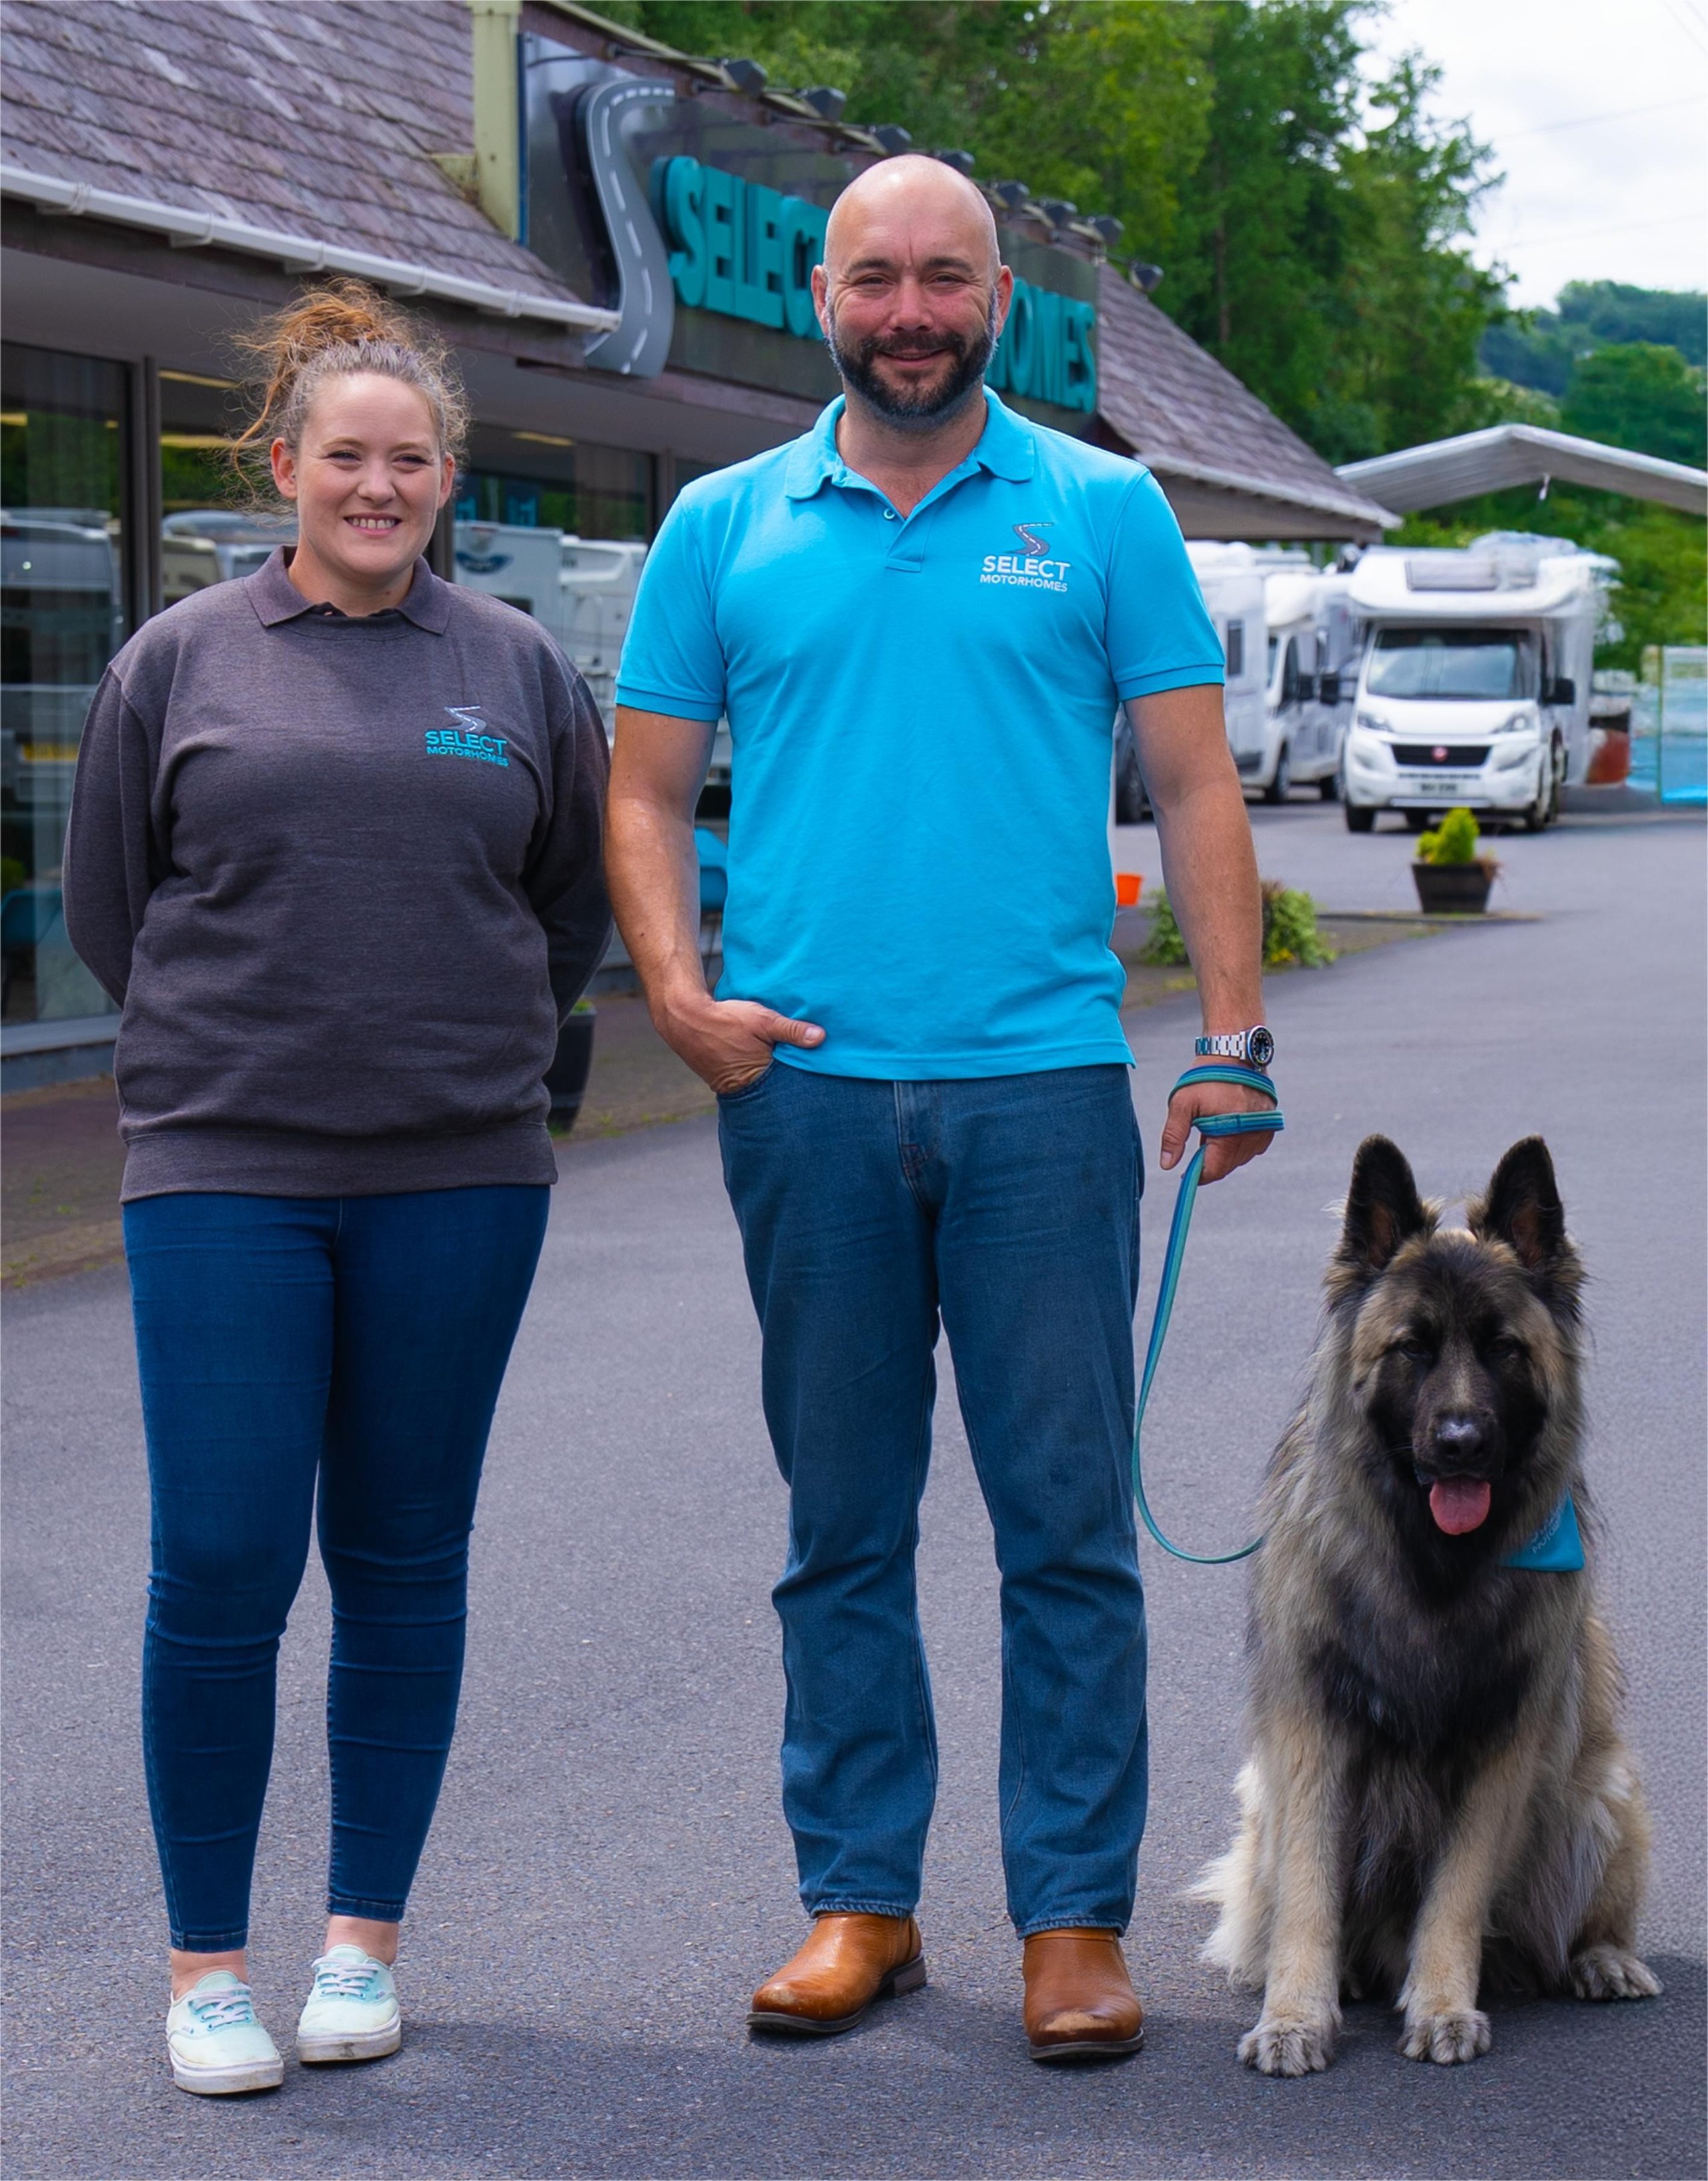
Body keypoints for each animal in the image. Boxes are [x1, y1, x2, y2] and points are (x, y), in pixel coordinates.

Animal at [1195, 1134, 1660, 2074]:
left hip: (1598, 1793)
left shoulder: (1499, 1749)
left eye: (1502, 1348)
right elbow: (1310, 1894)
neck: (1430, 1563)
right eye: (1412, 1347)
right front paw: (1294, 2014)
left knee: (1573, 1920)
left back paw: (1598, 1957)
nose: (1460, 1444)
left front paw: (1443, 2002)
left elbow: (1457, 1892)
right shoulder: (1313, 1740)